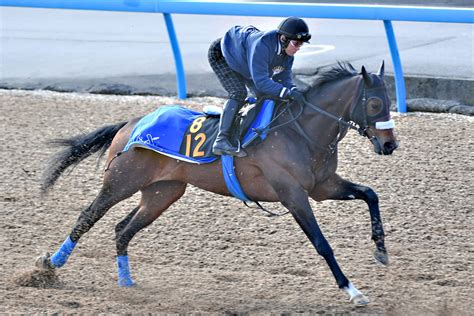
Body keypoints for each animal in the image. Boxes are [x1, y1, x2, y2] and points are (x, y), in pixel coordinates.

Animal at [37, 61, 398, 306]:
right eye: (374, 103)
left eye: (391, 101)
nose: (389, 145)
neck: (300, 132)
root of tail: (131, 124)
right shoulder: (293, 194)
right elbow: (322, 244)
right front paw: (352, 291)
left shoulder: (323, 187)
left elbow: (371, 194)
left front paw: (381, 250)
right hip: (120, 182)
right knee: (87, 216)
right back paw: (48, 266)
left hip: (162, 192)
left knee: (122, 229)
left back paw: (126, 280)